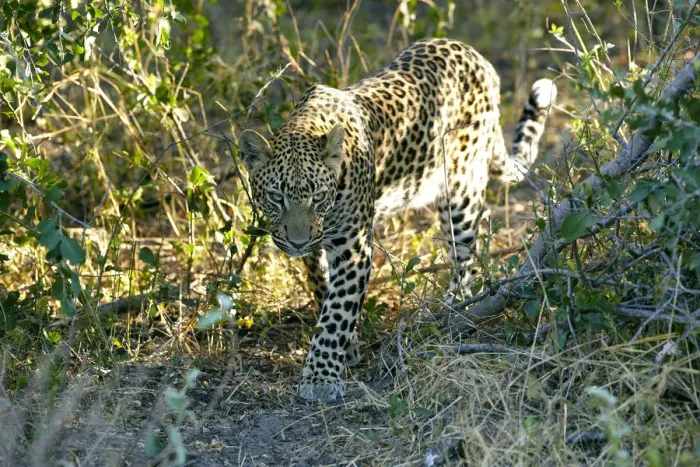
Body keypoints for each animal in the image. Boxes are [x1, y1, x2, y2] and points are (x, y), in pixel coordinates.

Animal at [238, 38, 556, 402]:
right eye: (276, 197)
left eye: (317, 196)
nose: (297, 241)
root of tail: (476, 56)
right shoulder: (319, 246)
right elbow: (323, 289)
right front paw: (347, 349)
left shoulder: (353, 249)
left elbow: (337, 312)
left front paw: (321, 377)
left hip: (460, 189)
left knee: (466, 252)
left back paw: (455, 310)